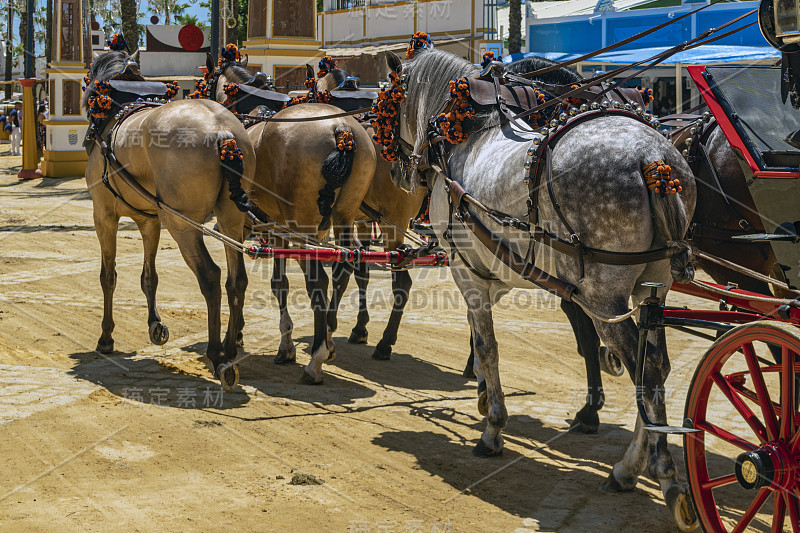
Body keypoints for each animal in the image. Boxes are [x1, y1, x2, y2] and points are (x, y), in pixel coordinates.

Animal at [81, 45, 256, 388]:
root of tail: (222, 131)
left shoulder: (103, 216)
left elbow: (108, 277)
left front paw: (106, 337)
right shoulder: (150, 218)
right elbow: (149, 276)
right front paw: (154, 325)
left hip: (182, 224)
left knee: (211, 277)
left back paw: (217, 355)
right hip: (229, 220)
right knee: (236, 280)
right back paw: (229, 348)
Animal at [390, 47, 696, 528]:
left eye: (390, 98)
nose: (399, 171)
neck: (463, 130)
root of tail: (654, 160)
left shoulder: (467, 269)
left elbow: (488, 345)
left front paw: (493, 427)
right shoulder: (498, 268)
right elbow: (481, 340)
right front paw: (482, 395)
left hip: (605, 299)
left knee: (643, 373)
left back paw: (659, 474)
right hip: (654, 290)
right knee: (656, 367)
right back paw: (631, 466)